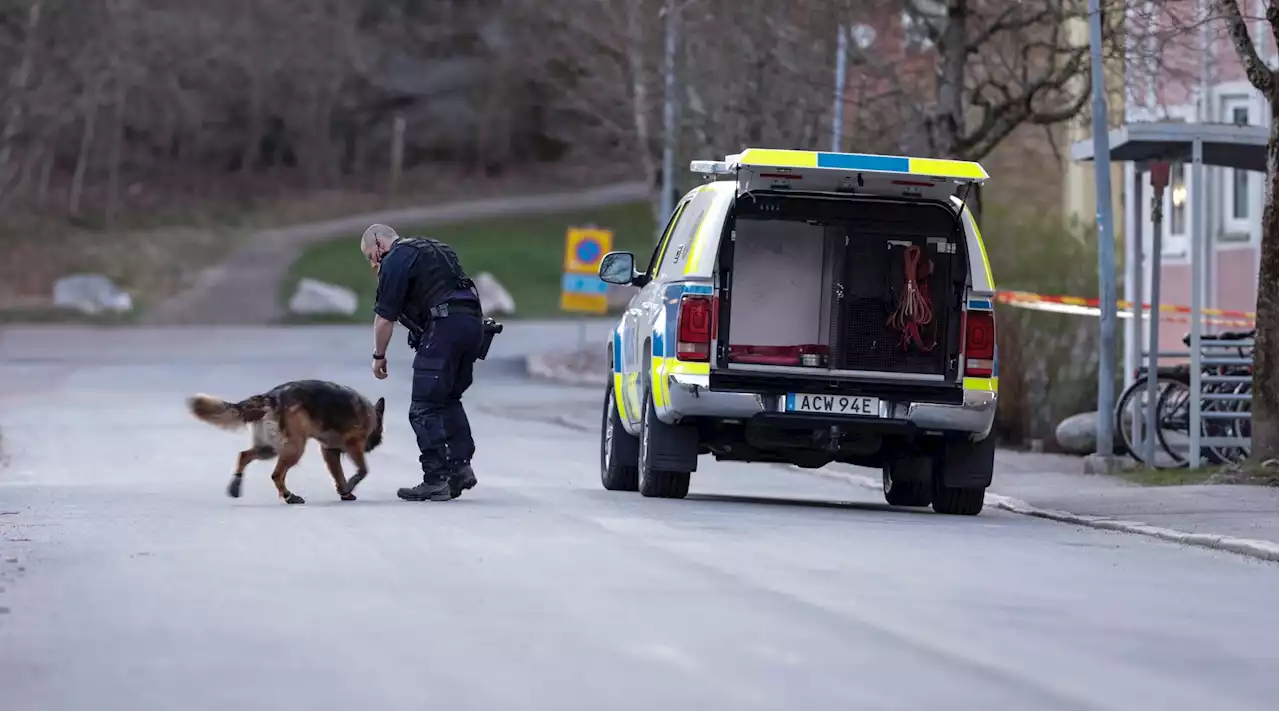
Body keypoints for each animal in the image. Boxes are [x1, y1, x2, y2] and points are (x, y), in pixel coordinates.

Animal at [185, 381, 384, 504]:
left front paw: (345, 492)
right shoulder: (353, 446)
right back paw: (289, 497)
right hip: (295, 449)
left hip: (268, 449)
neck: (370, 414)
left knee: (244, 455)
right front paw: (350, 486)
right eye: (380, 429)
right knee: (276, 474)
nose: (376, 443)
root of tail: (269, 396)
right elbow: (363, 470)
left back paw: (236, 485)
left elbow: (339, 476)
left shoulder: (329, 451)